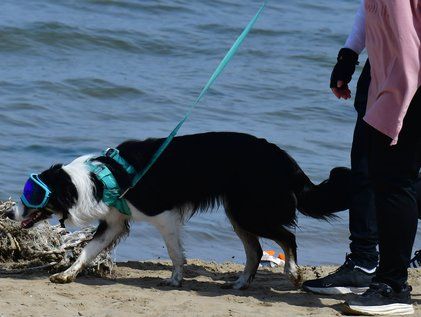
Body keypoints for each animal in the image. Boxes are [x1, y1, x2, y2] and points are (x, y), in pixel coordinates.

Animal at [9, 132, 352, 288]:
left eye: (31, 195)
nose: (9, 214)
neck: (99, 178)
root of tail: (282, 157)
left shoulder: (163, 215)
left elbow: (174, 252)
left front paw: (175, 279)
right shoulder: (115, 222)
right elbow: (87, 251)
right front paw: (67, 274)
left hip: (250, 211)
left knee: (287, 238)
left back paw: (293, 272)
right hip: (238, 213)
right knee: (255, 250)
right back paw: (241, 283)